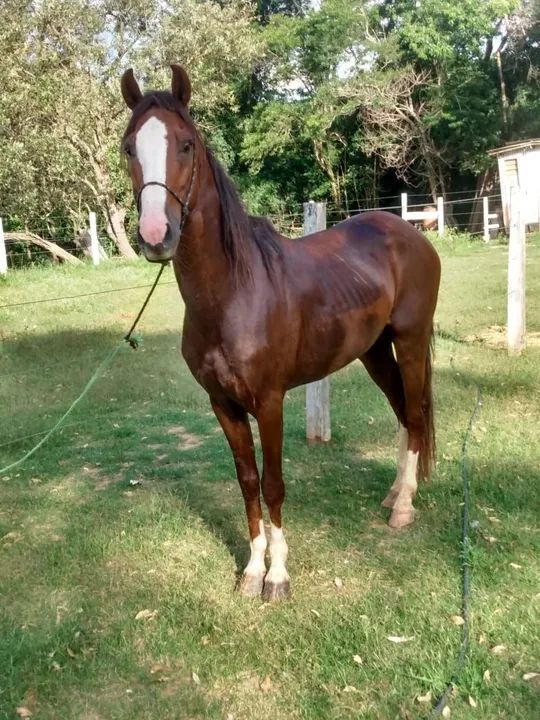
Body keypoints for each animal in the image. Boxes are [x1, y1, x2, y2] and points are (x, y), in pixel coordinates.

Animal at [120, 65, 441, 602]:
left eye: (185, 144)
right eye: (129, 147)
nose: (155, 235)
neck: (233, 293)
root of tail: (412, 233)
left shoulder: (269, 401)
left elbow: (273, 484)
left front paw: (277, 576)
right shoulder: (224, 405)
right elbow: (248, 481)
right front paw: (252, 571)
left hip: (411, 341)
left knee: (415, 416)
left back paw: (403, 508)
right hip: (375, 352)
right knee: (402, 412)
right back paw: (395, 493)